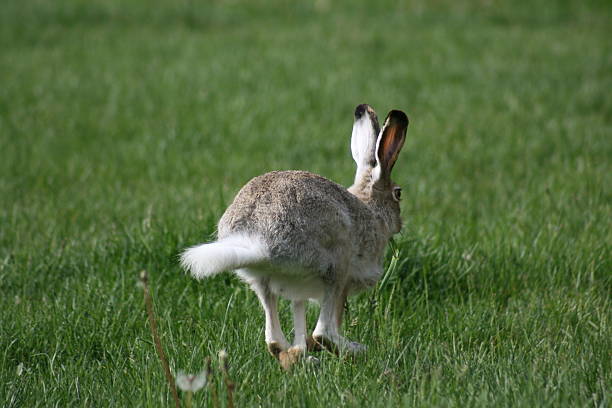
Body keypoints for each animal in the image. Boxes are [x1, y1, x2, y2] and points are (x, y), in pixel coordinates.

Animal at [179, 104, 408, 364]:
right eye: (398, 193)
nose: (399, 224)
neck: (370, 207)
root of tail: (262, 241)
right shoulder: (343, 282)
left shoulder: (299, 290)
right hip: (335, 266)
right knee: (323, 333)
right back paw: (356, 350)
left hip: (265, 281)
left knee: (274, 339)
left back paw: (303, 357)